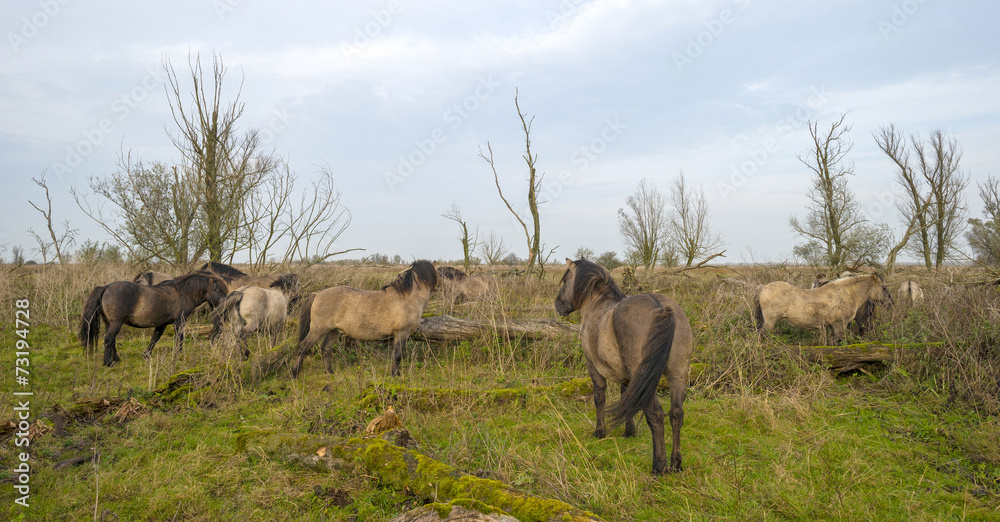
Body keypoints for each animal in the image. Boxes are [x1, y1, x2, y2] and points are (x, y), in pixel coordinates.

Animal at [79, 271, 229, 366]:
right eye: (216, 289)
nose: (225, 303)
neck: (182, 292)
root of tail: (105, 287)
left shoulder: (162, 323)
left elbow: (155, 338)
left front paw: (146, 355)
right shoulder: (180, 321)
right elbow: (179, 338)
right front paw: (179, 355)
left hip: (109, 323)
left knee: (112, 340)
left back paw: (116, 359)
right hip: (116, 323)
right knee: (109, 339)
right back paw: (108, 363)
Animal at [293, 260, 438, 378]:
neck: (407, 299)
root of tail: (317, 294)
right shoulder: (402, 332)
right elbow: (397, 355)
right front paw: (395, 375)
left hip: (333, 331)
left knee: (325, 349)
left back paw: (329, 372)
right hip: (317, 330)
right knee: (302, 348)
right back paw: (294, 374)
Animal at [554, 258, 694, 474]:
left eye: (565, 280)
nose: (557, 305)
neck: (597, 304)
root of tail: (661, 307)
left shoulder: (593, 368)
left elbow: (599, 398)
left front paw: (600, 431)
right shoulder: (628, 377)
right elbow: (627, 399)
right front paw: (629, 432)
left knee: (656, 415)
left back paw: (659, 466)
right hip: (677, 375)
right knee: (676, 413)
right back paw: (676, 464)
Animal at [754, 272, 891, 342]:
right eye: (884, 287)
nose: (890, 304)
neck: (844, 293)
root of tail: (763, 287)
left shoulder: (832, 326)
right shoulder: (840, 325)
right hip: (770, 321)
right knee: (762, 335)